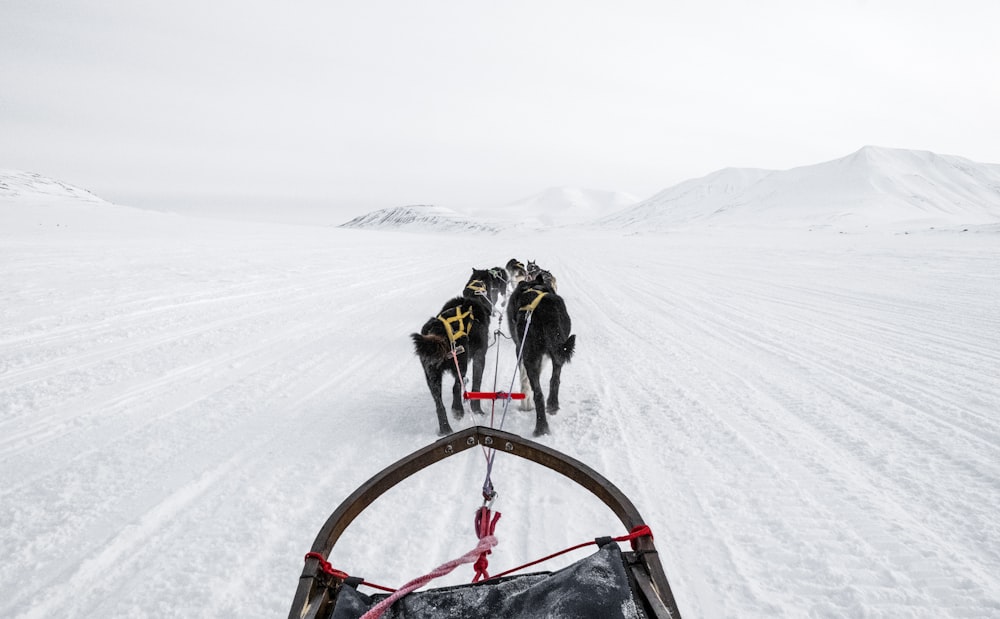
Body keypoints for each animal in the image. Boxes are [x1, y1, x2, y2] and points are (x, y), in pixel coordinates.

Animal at [508, 274, 580, 438]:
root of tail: (545, 309)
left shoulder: (519, 349)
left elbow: (524, 381)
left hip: (530, 355)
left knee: (538, 392)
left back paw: (541, 426)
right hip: (558, 350)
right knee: (553, 381)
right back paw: (551, 408)